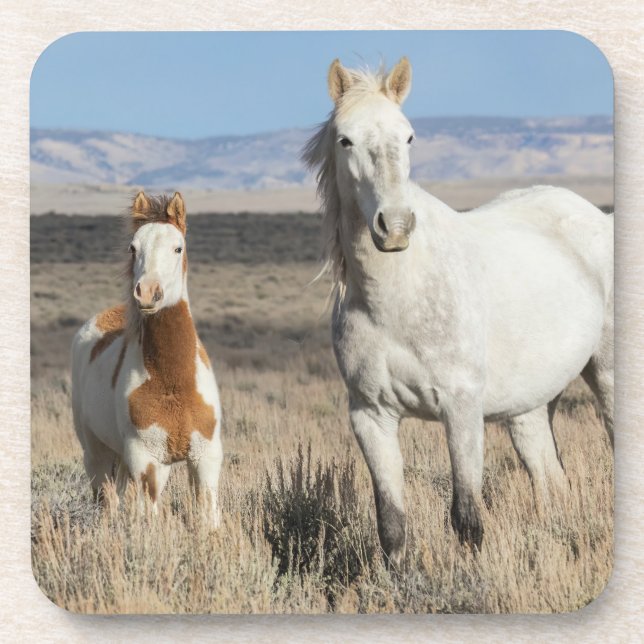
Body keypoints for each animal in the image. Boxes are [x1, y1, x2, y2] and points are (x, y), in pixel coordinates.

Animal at [71, 191, 223, 525]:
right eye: (133, 247)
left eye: (178, 247)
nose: (148, 293)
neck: (173, 382)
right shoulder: (146, 461)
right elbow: (149, 519)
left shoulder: (204, 458)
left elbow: (208, 518)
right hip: (97, 455)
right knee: (107, 502)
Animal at [303, 57, 614, 567]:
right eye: (345, 139)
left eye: (409, 136)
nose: (395, 227)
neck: (397, 297)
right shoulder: (370, 416)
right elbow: (391, 525)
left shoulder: (461, 408)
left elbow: (466, 518)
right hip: (531, 407)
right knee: (552, 482)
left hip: (606, 374)